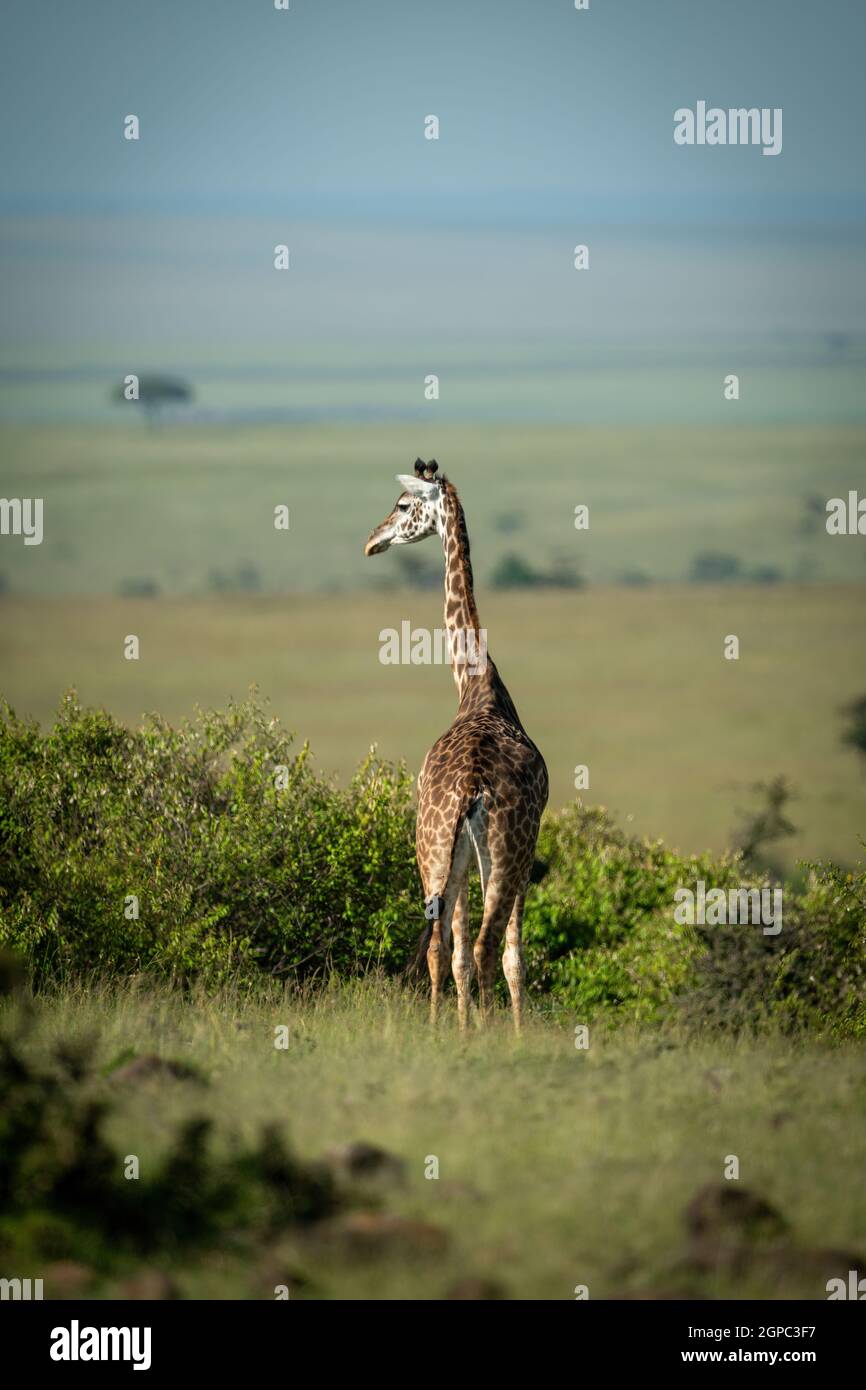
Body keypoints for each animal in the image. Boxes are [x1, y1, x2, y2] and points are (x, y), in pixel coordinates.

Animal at [366, 461, 547, 1028]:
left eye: (403, 505)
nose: (373, 541)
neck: (476, 684)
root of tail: (471, 787)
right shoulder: (526, 848)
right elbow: (512, 956)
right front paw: (508, 1032)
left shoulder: (459, 854)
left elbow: (458, 951)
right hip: (502, 852)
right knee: (488, 947)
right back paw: (488, 1033)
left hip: (433, 848)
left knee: (440, 945)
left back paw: (442, 1028)